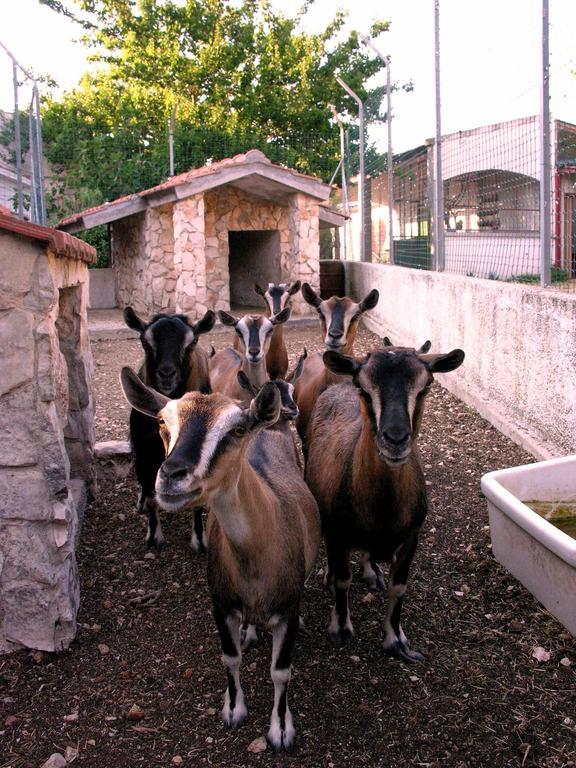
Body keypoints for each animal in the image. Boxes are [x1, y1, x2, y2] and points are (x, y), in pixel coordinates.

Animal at [120, 368, 322, 752]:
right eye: (162, 422)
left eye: (236, 430)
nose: (171, 475)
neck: (256, 560)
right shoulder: (221, 603)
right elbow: (230, 658)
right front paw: (233, 710)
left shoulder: (286, 610)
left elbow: (280, 670)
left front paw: (281, 730)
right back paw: (249, 632)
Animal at [124, 306, 216, 552]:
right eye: (144, 341)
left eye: (192, 342)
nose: (166, 374)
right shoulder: (146, 450)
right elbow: (150, 494)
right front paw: (153, 536)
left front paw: (199, 540)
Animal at [306, 342, 464, 660]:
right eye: (363, 387)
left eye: (425, 386)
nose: (395, 439)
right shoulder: (338, 533)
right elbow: (342, 580)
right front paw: (340, 627)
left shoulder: (412, 536)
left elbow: (399, 587)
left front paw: (397, 640)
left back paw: (372, 571)